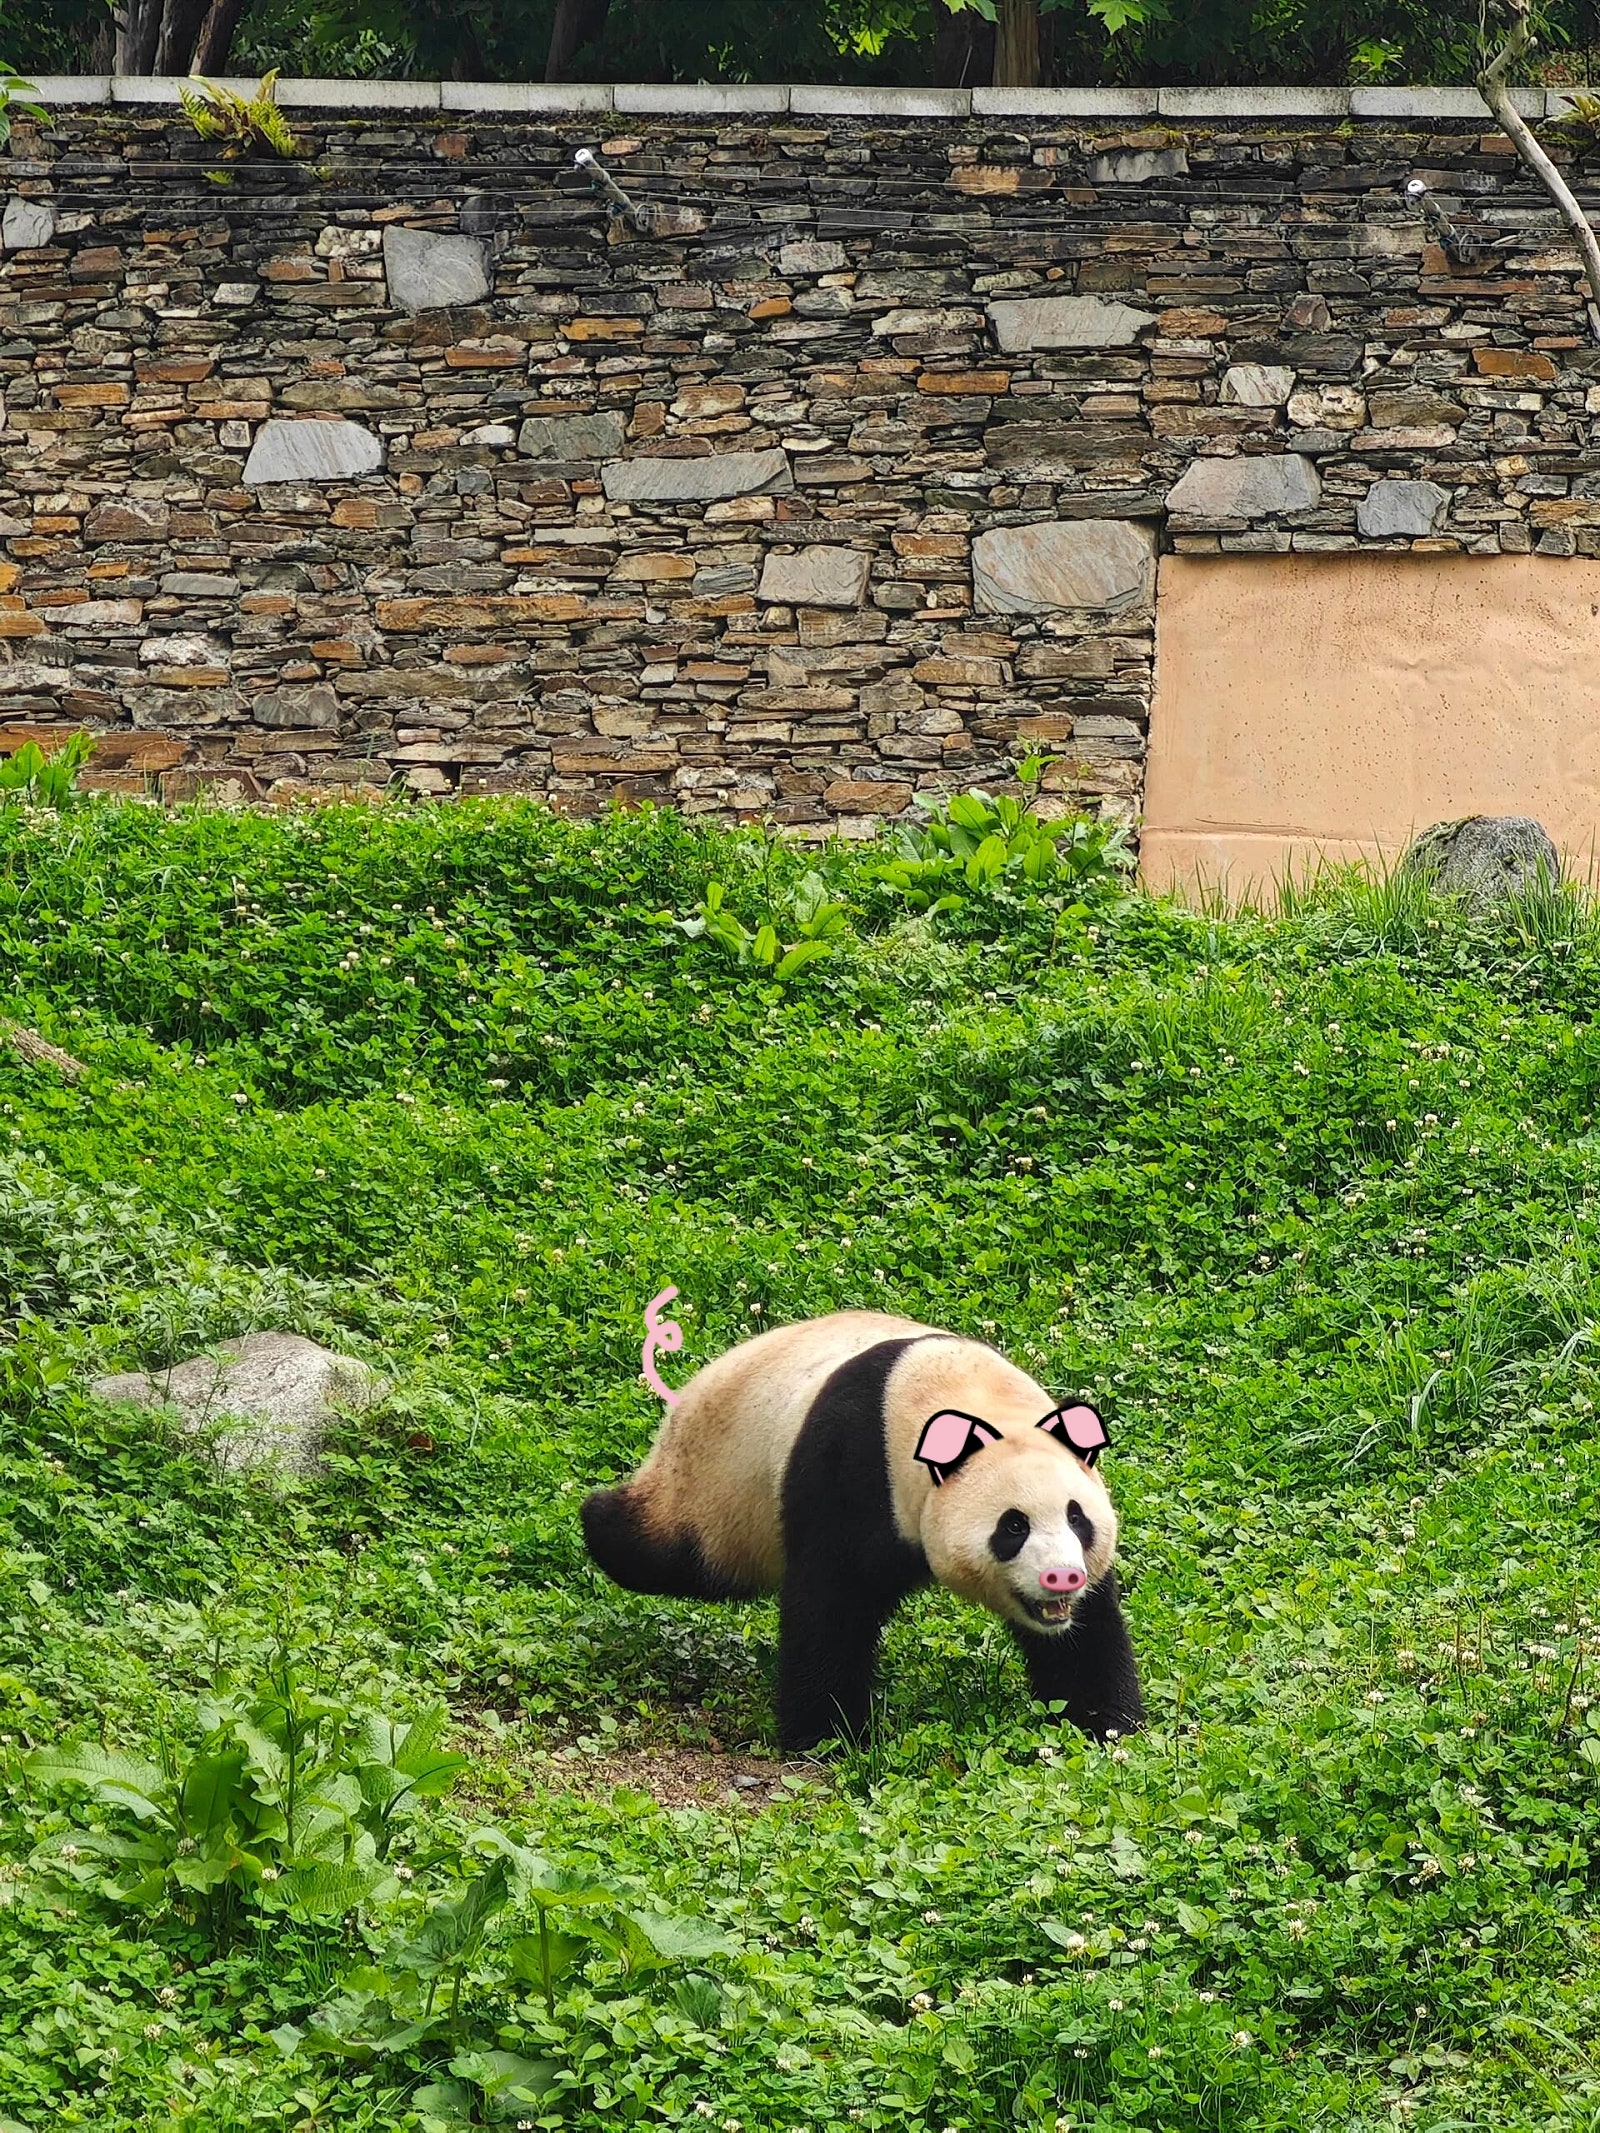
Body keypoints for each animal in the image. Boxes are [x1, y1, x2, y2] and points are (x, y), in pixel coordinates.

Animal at [584, 1313, 1143, 1749]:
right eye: (1013, 1526)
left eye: (1077, 1519)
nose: (1060, 1578)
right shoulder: (855, 1464)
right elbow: (832, 1602)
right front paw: (829, 1735)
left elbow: (1087, 1633)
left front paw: (1106, 1725)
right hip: (721, 1490)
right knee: (664, 1550)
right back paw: (596, 1517)